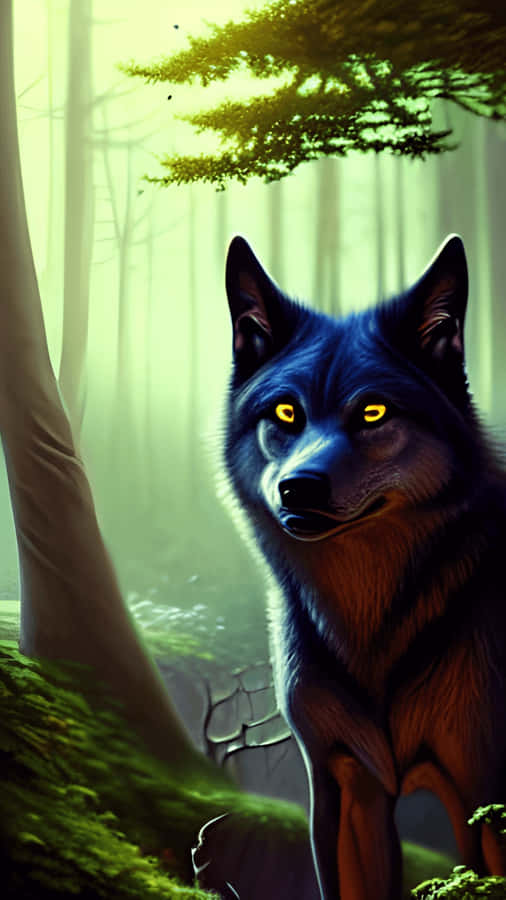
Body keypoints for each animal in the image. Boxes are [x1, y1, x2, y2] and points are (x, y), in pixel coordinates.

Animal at [221, 234, 506, 900]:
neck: (371, 624)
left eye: (374, 412)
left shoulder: (490, 795)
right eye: (287, 413)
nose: (299, 487)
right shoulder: (347, 789)